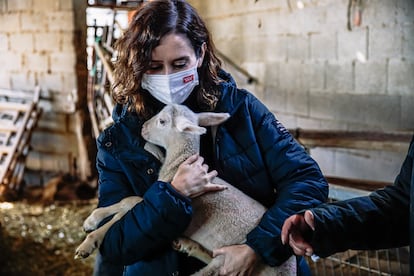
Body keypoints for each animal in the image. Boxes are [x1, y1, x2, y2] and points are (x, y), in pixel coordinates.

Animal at [73, 104, 294, 276]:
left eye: (162, 121)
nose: (143, 128)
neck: (177, 165)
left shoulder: (161, 202)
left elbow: (127, 206)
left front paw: (88, 242)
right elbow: (126, 205)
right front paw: (91, 221)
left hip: (229, 263)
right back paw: (188, 245)